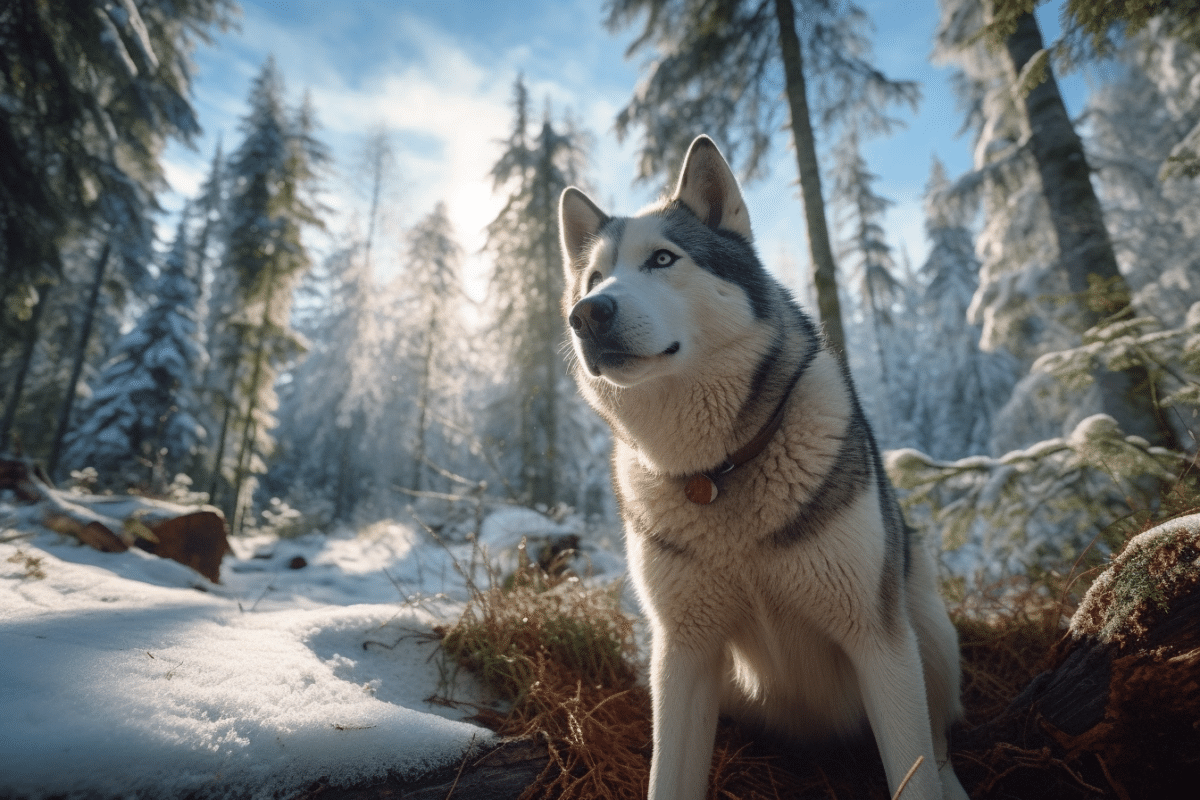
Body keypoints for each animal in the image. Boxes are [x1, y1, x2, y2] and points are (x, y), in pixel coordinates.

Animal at [559, 134, 964, 796]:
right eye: (593, 277)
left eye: (663, 259)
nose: (587, 314)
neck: (716, 471)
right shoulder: (683, 656)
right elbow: (667, 779)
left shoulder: (878, 642)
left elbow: (915, 771)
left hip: (926, 632)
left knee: (941, 742)